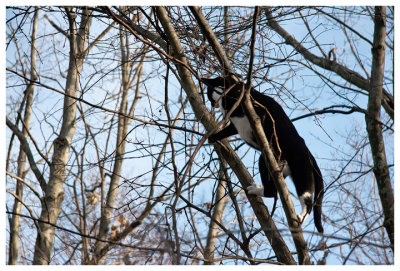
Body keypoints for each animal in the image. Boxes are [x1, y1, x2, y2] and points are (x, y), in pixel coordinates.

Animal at [203, 76, 324, 234]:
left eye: (208, 94)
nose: (212, 105)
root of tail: (309, 153)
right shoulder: (235, 124)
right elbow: (227, 131)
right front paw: (212, 137)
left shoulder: (259, 106)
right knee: (274, 190)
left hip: (296, 169)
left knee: (304, 198)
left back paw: (300, 216)